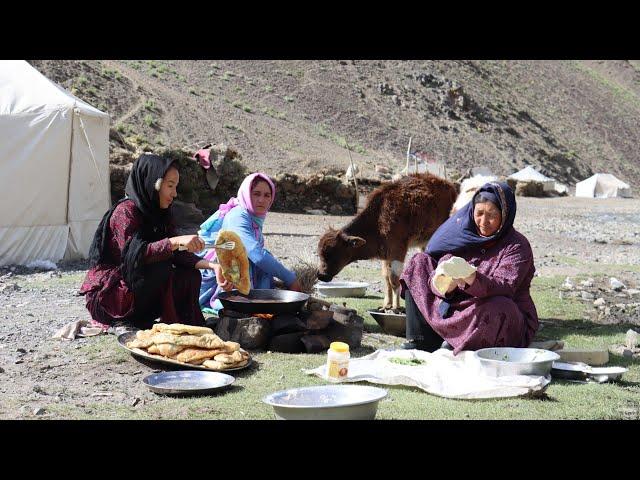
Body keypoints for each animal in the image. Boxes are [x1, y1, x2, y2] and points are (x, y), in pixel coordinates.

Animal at [318, 174, 458, 310]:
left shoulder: (398, 250)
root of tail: (450, 187)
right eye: (320, 254)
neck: (378, 219)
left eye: (333, 254)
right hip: (425, 243)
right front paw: (387, 304)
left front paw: (396, 307)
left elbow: (394, 279)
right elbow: (386, 278)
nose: (320, 275)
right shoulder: (386, 254)